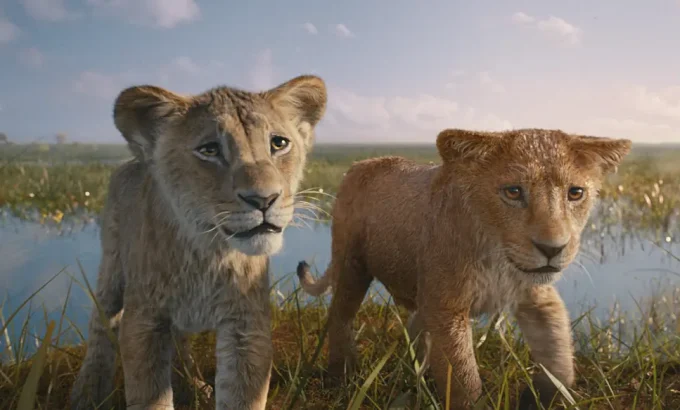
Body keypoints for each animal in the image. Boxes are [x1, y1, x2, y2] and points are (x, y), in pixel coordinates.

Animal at [70, 74, 327, 410]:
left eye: (279, 143)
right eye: (210, 149)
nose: (264, 199)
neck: (208, 253)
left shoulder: (246, 326)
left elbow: (241, 396)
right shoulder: (144, 321)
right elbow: (149, 395)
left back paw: (192, 386)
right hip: (111, 266)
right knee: (102, 323)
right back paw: (87, 392)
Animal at [297, 128, 631, 409]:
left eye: (575, 193)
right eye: (513, 192)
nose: (552, 249)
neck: (497, 258)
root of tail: (360, 163)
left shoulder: (537, 298)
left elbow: (560, 358)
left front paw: (538, 397)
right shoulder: (448, 307)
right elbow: (464, 377)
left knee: (416, 327)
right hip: (352, 264)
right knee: (340, 315)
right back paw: (342, 373)